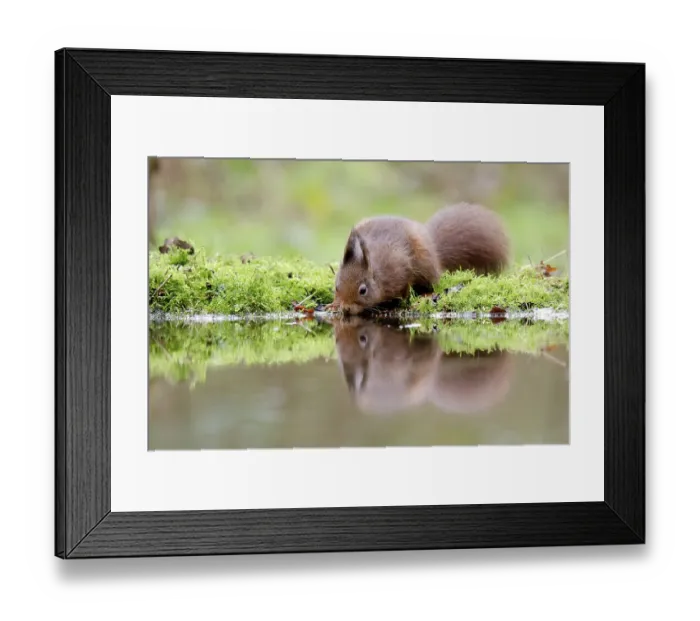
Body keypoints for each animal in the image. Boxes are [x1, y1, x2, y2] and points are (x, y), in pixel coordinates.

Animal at [332, 202, 510, 314]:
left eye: (363, 290)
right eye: (336, 286)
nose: (346, 308)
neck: (377, 274)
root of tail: (433, 246)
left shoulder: (399, 268)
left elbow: (405, 286)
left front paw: (400, 300)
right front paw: (333, 305)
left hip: (425, 265)